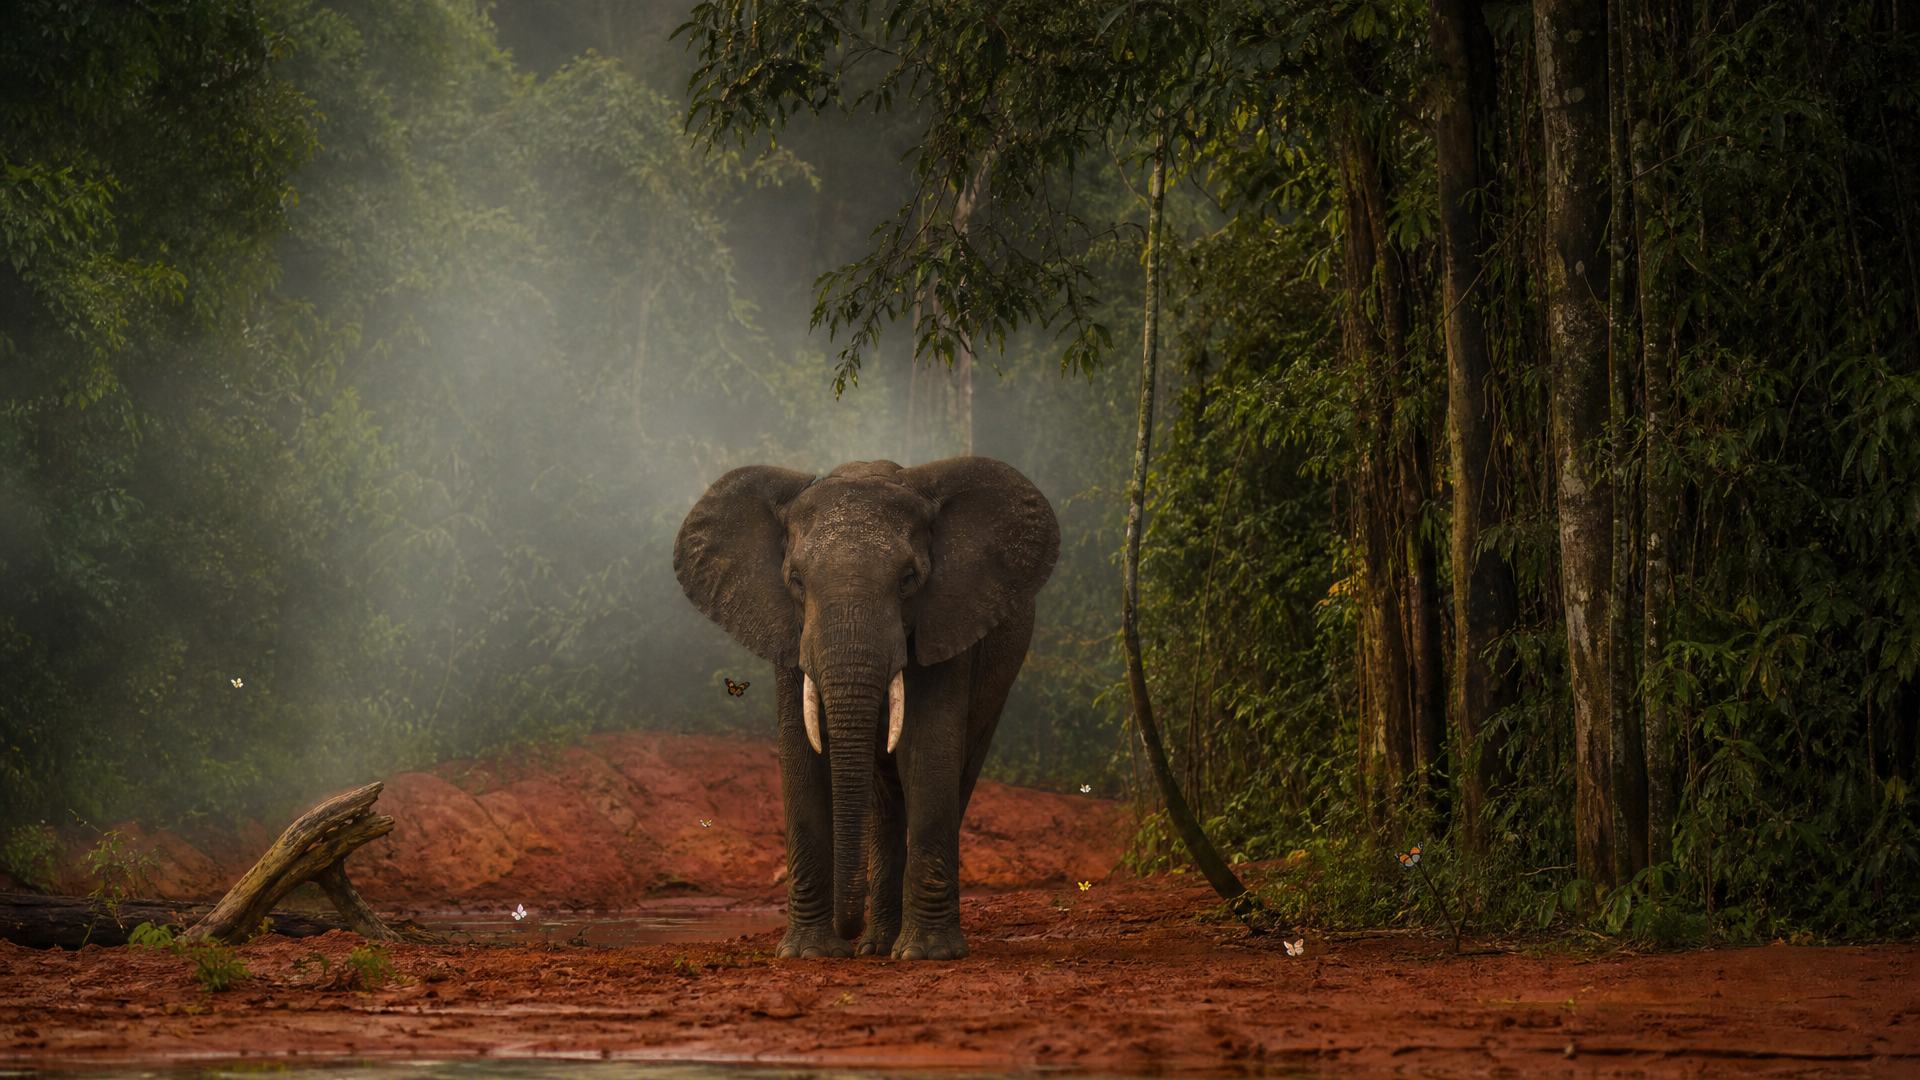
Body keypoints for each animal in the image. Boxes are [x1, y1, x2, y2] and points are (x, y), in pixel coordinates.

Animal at [673, 457, 1059, 960]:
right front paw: (808, 954)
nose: (846, 932)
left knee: (955, 777)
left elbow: (927, 753)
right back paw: (876, 947)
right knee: (885, 798)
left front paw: (928, 955)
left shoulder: (947, 622)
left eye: (909, 581)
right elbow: (802, 759)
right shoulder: (790, 636)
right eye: (796, 582)